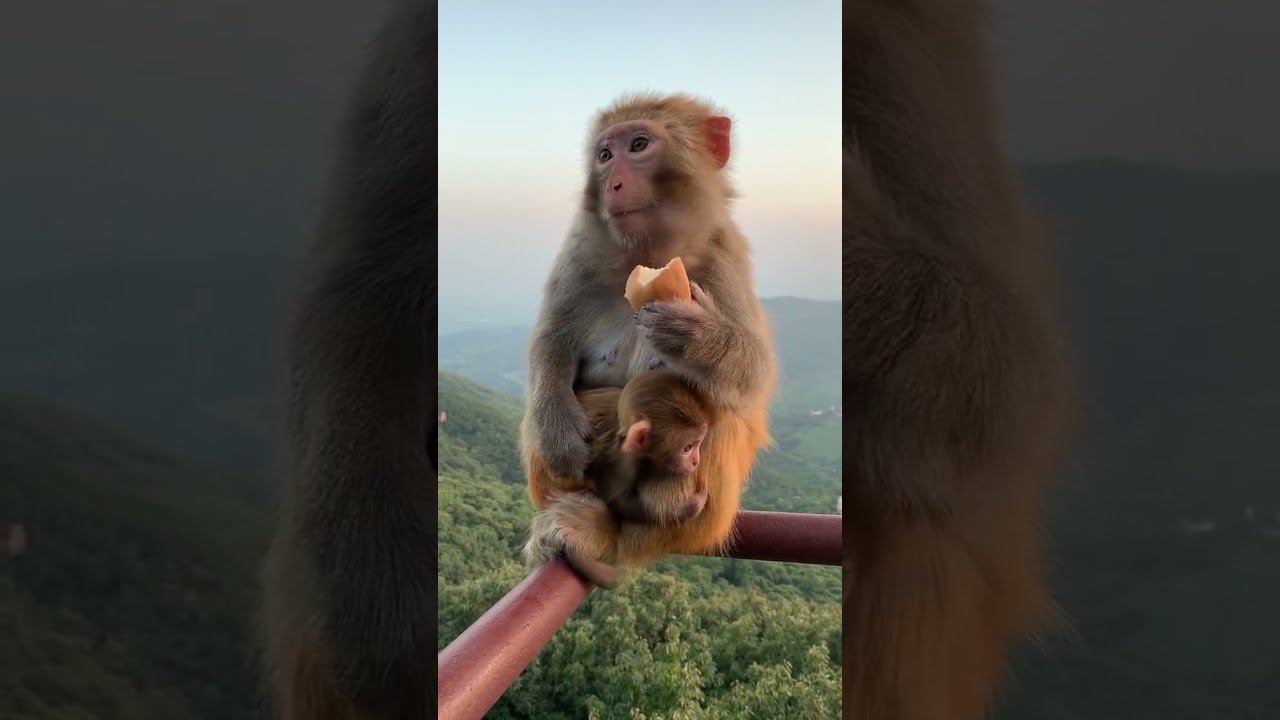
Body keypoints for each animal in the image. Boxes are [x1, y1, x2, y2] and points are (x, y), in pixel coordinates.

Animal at [579, 370, 713, 527]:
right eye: (688, 448)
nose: (696, 462)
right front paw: (691, 506)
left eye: (698, 443)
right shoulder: (625, 460)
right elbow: (619, 500)